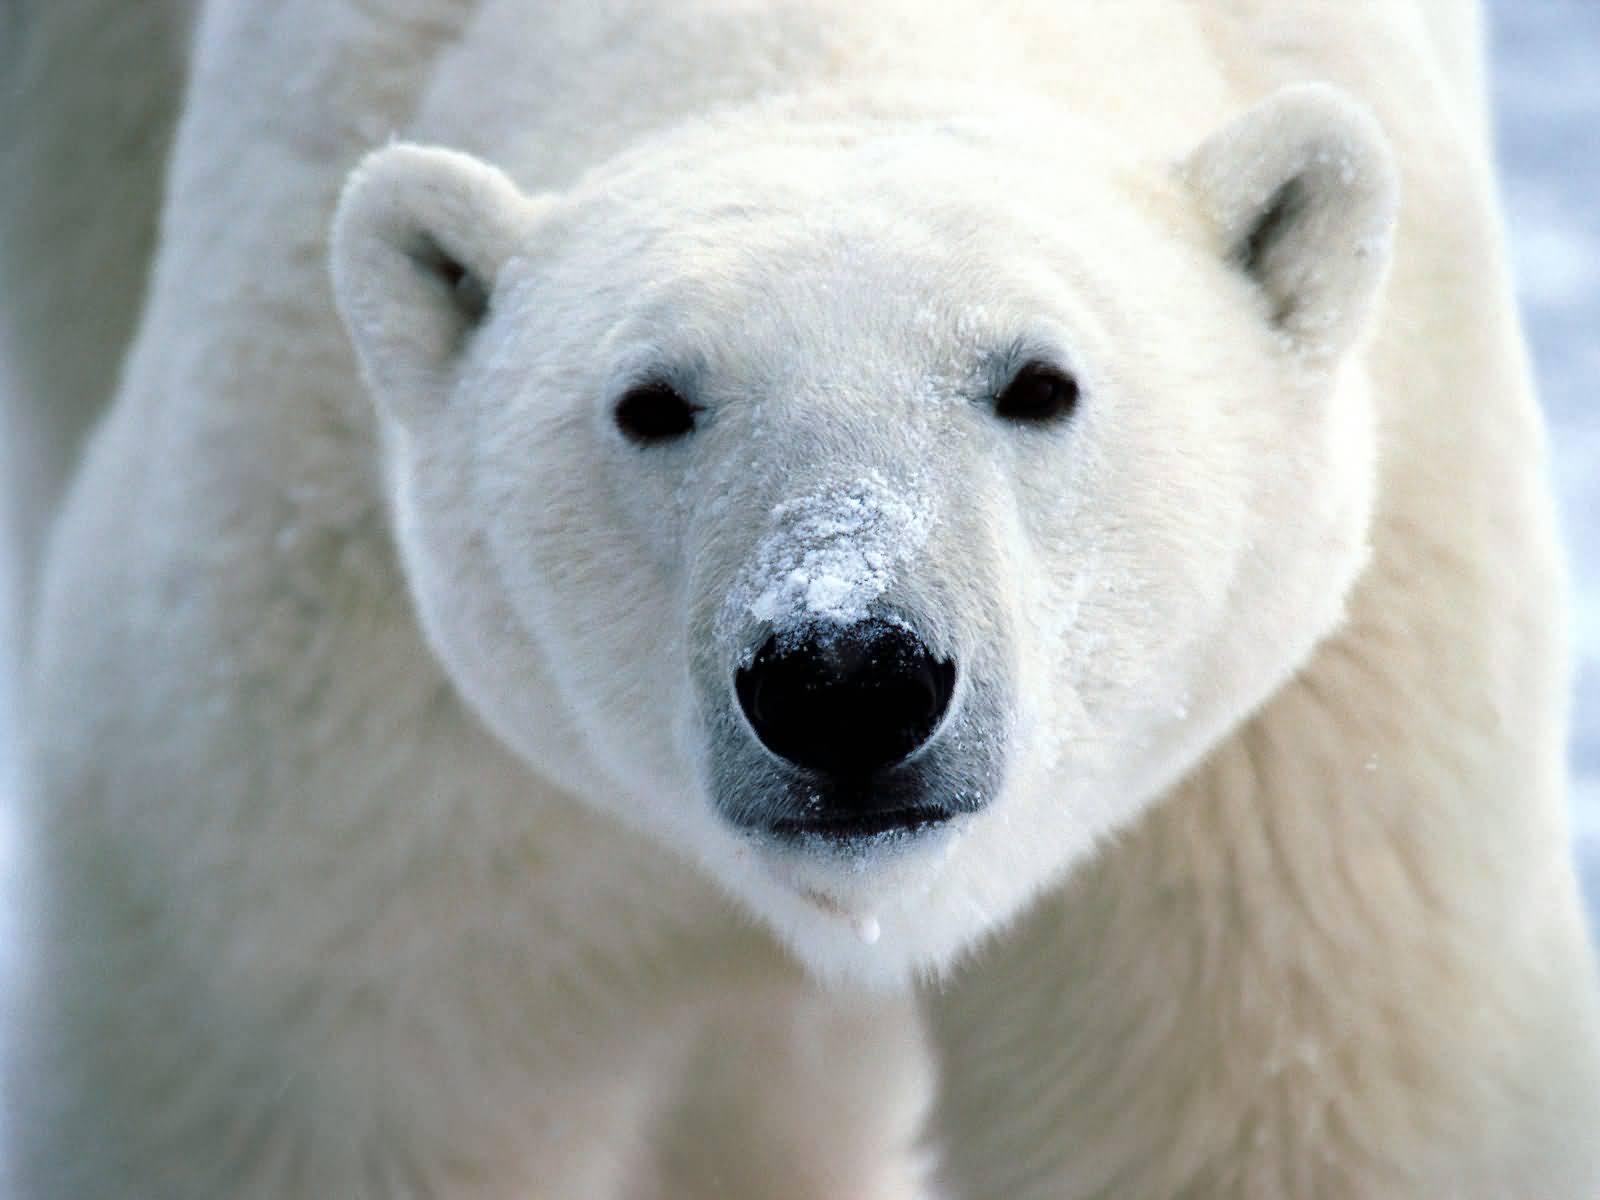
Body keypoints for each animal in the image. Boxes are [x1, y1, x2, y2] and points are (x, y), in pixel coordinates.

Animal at [3, 0, 1600, 1196]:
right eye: (652, 403)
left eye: (1039, 381)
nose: (847, 678)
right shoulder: (341, 712)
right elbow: (322, 1079)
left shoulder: (1292, 771)